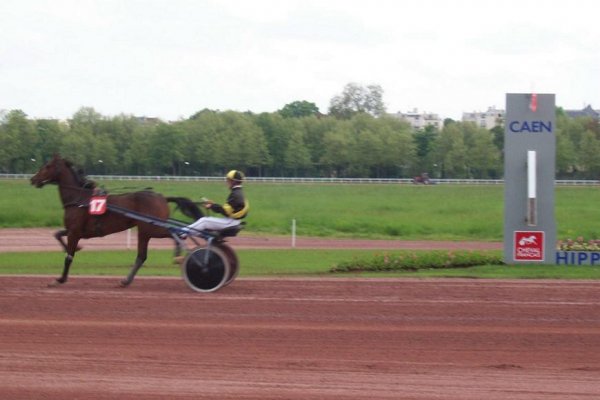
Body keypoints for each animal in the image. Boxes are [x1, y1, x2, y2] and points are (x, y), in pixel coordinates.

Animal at [30, 154, 180, 288]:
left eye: (47, 166)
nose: (33, 179)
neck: (78, 199)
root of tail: (162, 198)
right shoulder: (75, 231)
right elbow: (57, 234)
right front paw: (75, 248)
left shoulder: (74, 232)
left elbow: (68, 257)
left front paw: (60, 279)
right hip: (146, 231)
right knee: (142, 256)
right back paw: (126, 281)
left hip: (150, 229)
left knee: (174, 234)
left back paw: (178, 255)